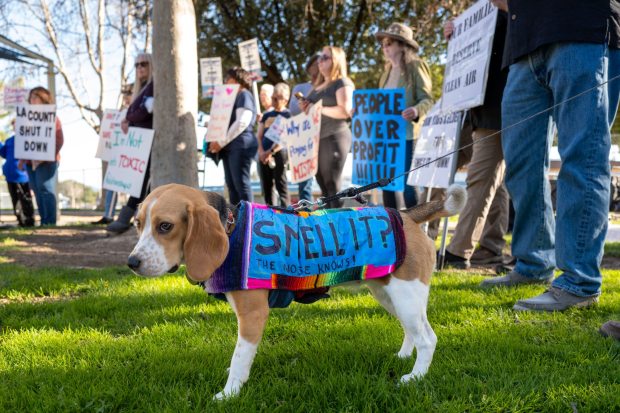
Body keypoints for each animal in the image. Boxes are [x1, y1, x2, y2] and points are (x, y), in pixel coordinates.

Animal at [126, 183, 464, 400]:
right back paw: (404, 356)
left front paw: (228, 393)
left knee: (428, 338)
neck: (231, 228)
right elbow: (238, 356)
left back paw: (414, 377)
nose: (132, 262)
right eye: (138, 224)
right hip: (389, 294)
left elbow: (240, 357)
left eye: (166, 226)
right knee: (412, 332)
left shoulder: (253, 315)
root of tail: (407, 214)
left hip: (406, 296)